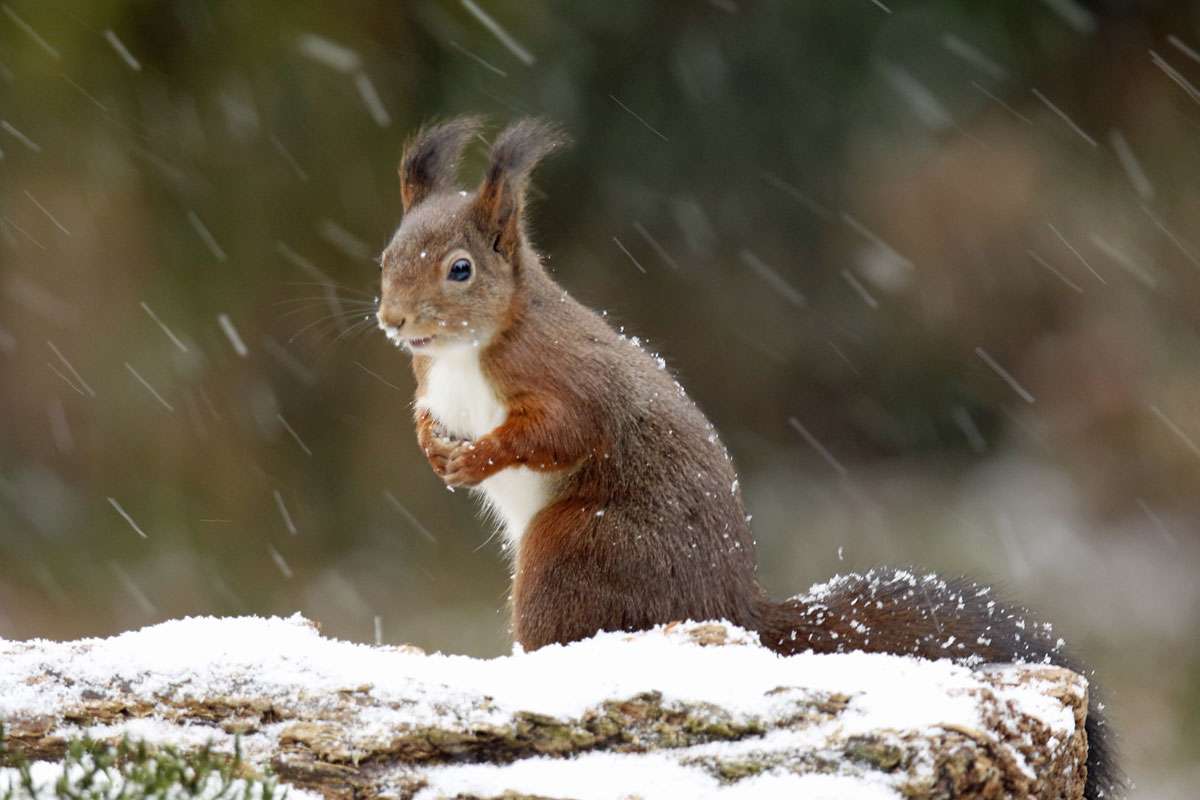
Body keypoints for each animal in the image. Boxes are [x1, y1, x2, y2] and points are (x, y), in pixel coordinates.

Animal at [374, 115, 1113, 796]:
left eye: (460, 269)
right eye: (385, 257)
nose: (392, 321)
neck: (466, 351)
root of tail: (734, 611)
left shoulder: (565, 381)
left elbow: (560, 433)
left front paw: (478, 459)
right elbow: (425, 414)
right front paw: (428, 443)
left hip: (573, 548)